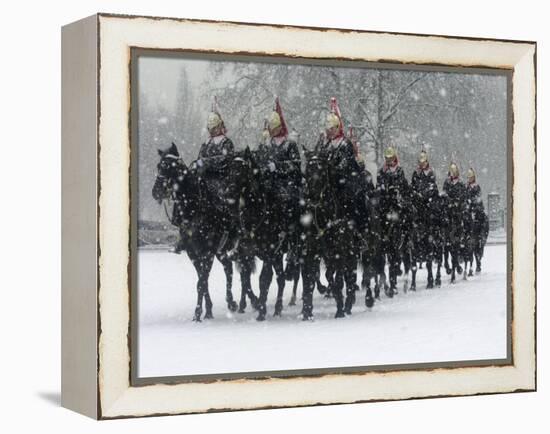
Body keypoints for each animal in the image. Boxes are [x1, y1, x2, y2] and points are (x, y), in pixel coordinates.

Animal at [153, 143, 242, 322]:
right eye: (159, 166)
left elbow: (202, 281)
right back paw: (231, 302)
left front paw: (198, 313)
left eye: (170, 166)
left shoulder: (207, 252)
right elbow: (202, 280)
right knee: (228, 268)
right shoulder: (193, 253)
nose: (156, 192)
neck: (193, 209)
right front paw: (207, 310)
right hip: (221, 251)